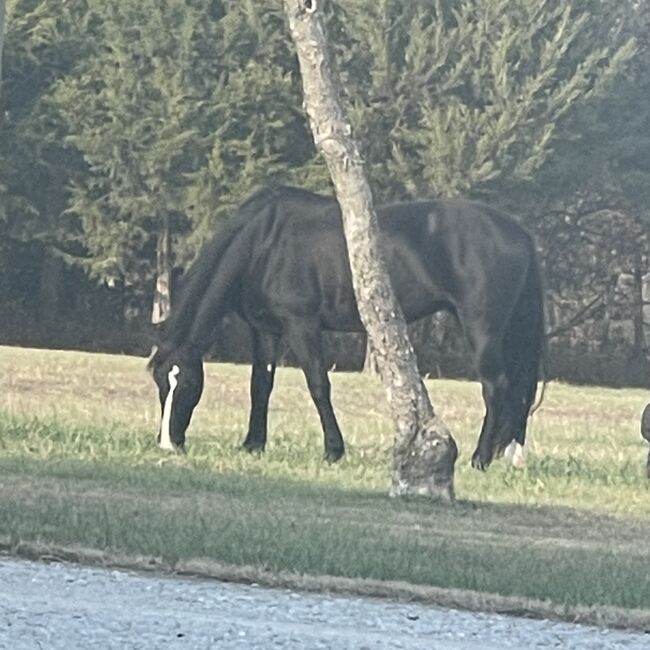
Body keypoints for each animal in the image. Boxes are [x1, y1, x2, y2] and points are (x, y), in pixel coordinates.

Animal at [149, 185, 544, 468]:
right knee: (516, 390)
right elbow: (260, 385)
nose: (168, 444)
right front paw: (253, 444)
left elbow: (318, 386)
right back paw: (508, 455)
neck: (264, 240)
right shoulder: (266, 330)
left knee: (496, 388)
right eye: (160, 383)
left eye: (187, 384)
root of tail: (520, 231)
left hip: (483, 328)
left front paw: (333, 450)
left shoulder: (302, 325)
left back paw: (480, 459)